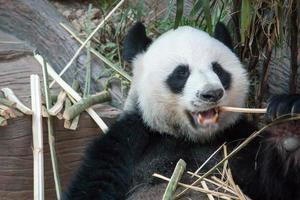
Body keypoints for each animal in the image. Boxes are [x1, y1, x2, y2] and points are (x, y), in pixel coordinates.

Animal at [63, 22, 300, 200]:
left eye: (218, 70)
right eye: (181, 73)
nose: (212, 93)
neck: (188, 138)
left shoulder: (237, 141)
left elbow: (275, 187)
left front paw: (288, 126)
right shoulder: (129, 140)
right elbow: (95, 183)